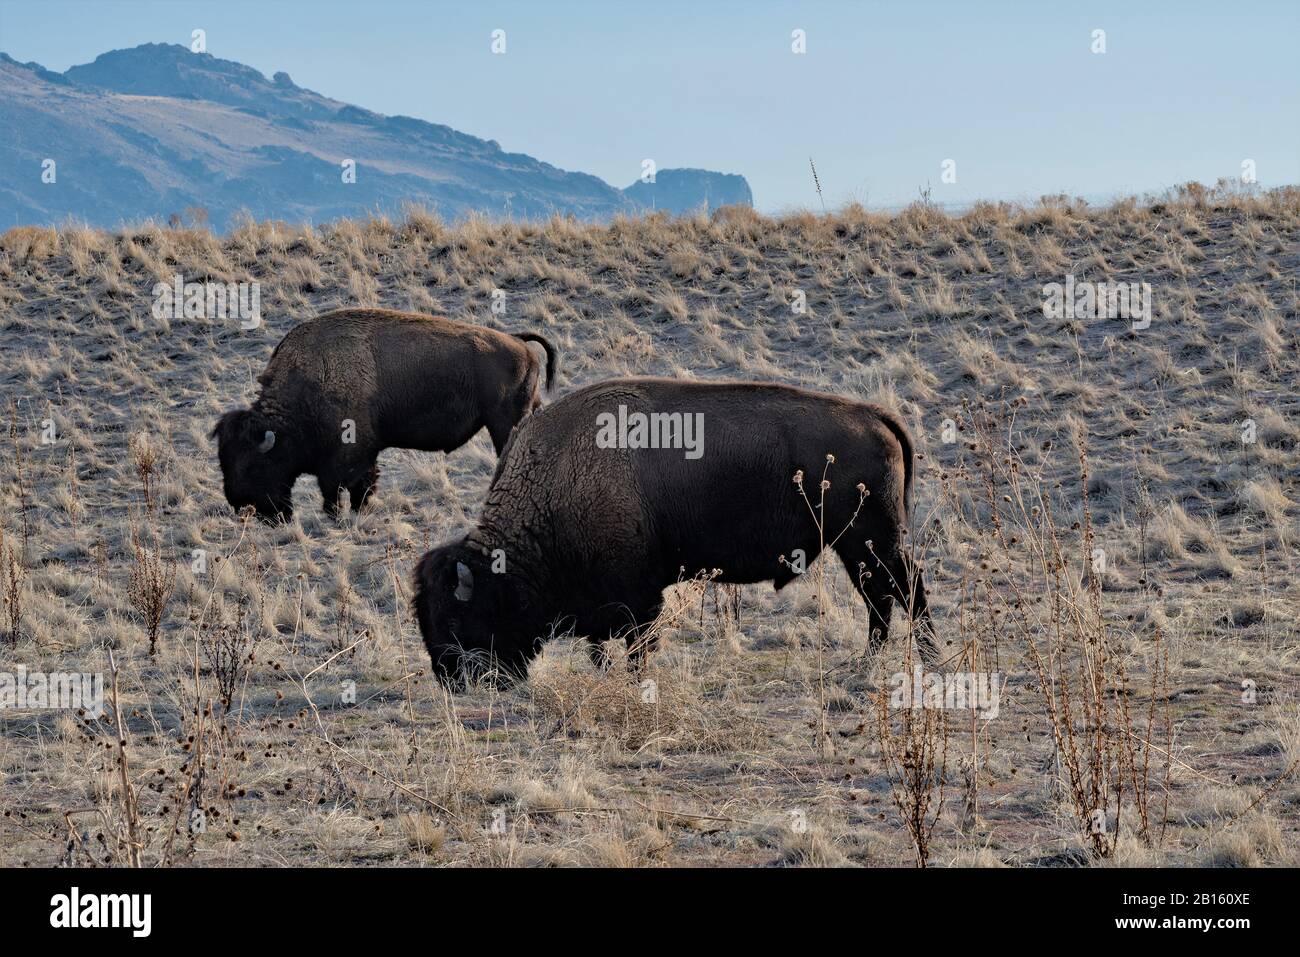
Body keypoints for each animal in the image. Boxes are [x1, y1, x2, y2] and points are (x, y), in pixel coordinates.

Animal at [213, 308, 557, 521]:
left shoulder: (349, 454)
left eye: (253, 464)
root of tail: (519, 342)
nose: (238, 503)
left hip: (504, 422)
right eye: (224, 460)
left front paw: (347, 513)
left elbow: (345, 486)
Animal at [414, 376, 937, 687]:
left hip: (873, 542)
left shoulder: (639, 597)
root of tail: (875, 415)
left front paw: (635, 682)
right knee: (881, 599)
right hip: (856, 548)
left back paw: (925, 660)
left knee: (907, 590)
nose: (451, 679)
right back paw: (868, 664)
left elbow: (637, 643)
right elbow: (601, 646)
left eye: (457, 618)